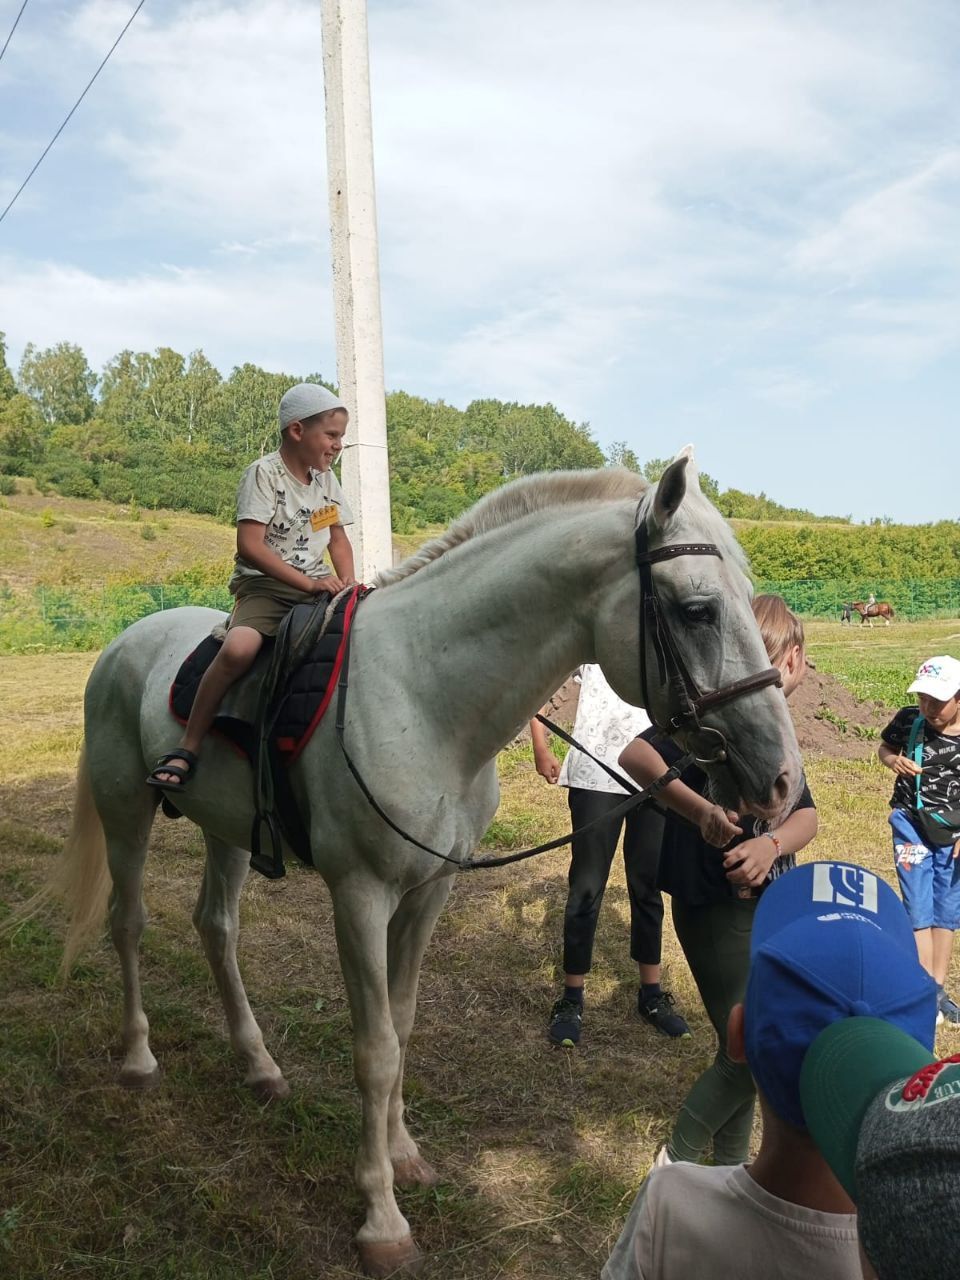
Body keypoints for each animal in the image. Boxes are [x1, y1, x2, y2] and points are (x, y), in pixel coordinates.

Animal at [28, 455, 803, 1274]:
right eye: (697, 611)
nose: (781, 778)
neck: (426, 696)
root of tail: (123, 644)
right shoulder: (360, 895)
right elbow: (374, 1049)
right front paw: (381, 1220)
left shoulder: (431, 890)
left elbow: (400, 1028)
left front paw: (403, 1154)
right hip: (125, 810)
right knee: (128, 921)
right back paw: (139, 1056)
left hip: (227, 833)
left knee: (216, 927)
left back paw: (259, 1065)